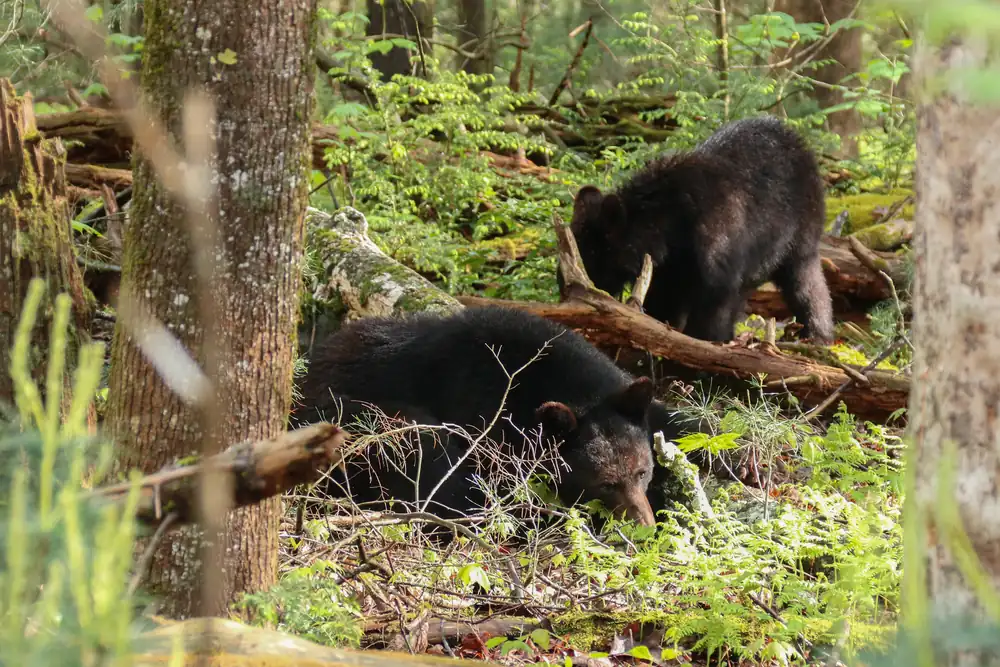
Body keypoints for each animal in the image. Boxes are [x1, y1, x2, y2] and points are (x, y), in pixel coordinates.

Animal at [566, 116, 834, 343]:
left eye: (592, 256)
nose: (565, 291)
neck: (670, 227)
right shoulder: (667, 268)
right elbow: (664, 299)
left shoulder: (717, 250)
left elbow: (715, 303)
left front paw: (708, 341)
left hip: (800, 237)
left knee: (805, 283)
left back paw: (818, 334)